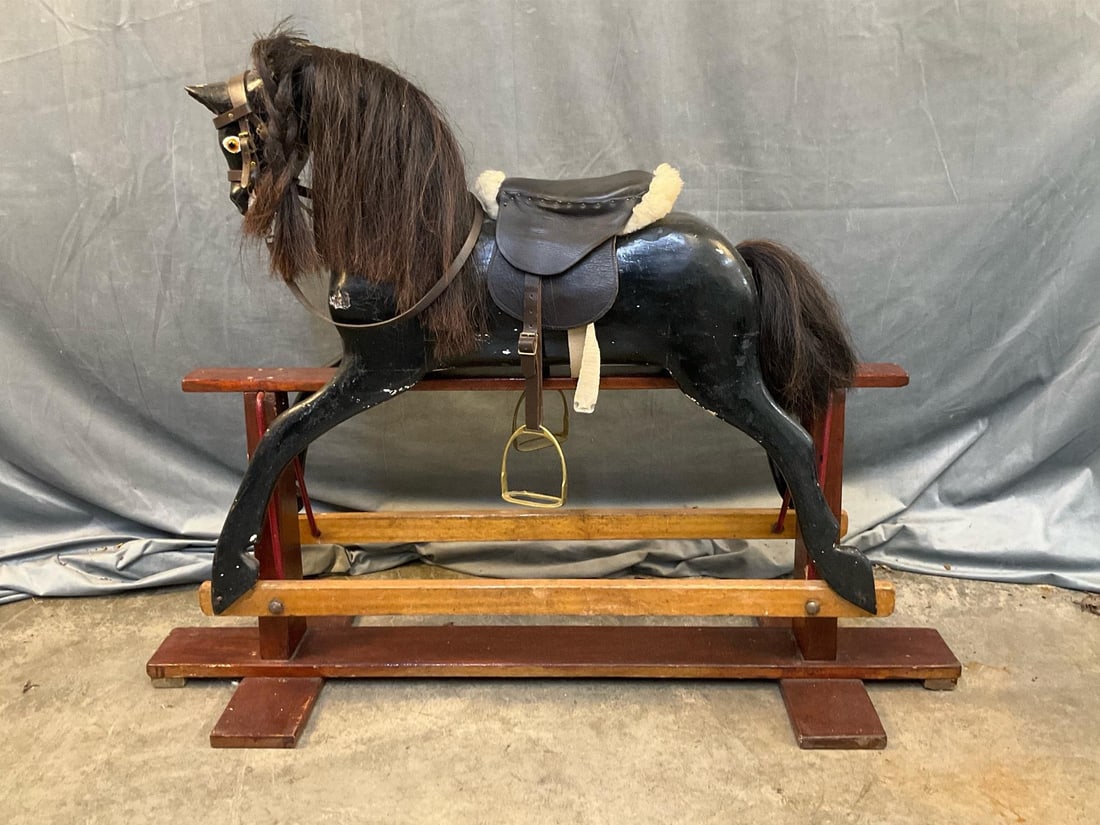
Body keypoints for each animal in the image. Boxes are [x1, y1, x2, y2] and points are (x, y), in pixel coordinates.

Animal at [187, 30, 876, 615]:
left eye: (237, 134)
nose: (241, 197)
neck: (412, 245)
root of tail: (738, 255)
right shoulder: (351, 365)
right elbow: (289, 432)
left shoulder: (381, 370)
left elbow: (279, 439)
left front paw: (230, 574)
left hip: (719, 377)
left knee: (797, 441)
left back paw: (845, 575)